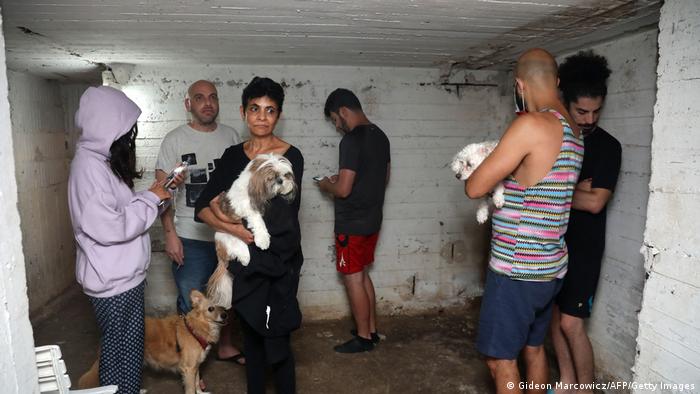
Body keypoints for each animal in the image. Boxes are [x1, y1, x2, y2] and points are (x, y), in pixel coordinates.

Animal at [79, 290, 228, 394]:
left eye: (222, 307)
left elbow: (197, 383)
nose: (225, 315)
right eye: (210, 309)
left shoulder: (195, 366)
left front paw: (201, 392)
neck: (195, 328)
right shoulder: (189, 369)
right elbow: (191, 388)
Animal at [206, 152, 296, 310]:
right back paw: (246, 257)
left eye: (285, 175)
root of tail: (221, 257)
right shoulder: (245, 207)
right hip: (226, 237)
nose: (281, 181)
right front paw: (263, 239)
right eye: (272, 177)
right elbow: (257, 220)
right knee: (237, 249)